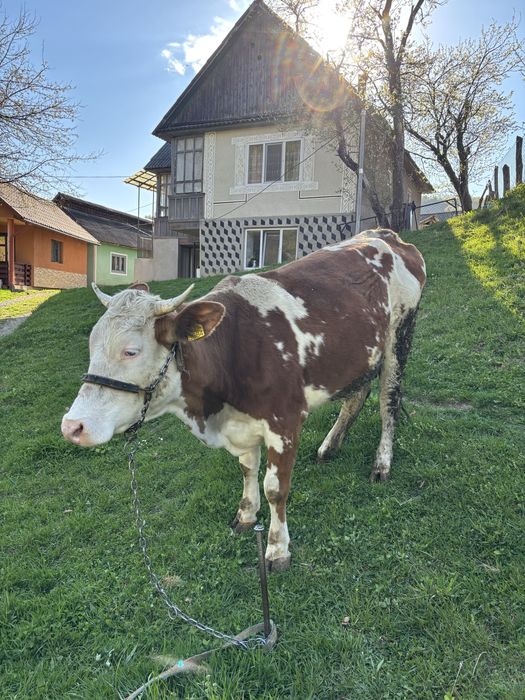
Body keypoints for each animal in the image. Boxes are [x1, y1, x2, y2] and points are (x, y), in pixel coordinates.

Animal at [62, 229, 425, 571]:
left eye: (131, 351)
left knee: (388, 403)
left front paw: (277, 549)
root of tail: (384, 235)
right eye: (92, 346)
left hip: (400, 337)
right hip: (360, 355)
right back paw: (329, 446)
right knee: (357, 395)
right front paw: (247, 515)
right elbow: (248, 469)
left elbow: (275, 487)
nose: (72, 426)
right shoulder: (243, 423)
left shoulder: (285, 421)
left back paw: (381, 464)